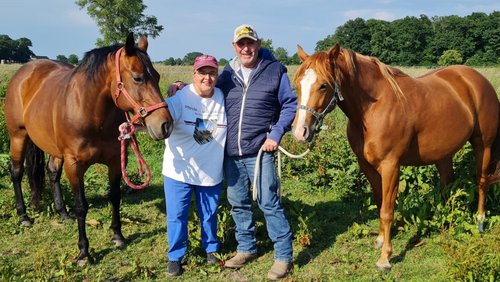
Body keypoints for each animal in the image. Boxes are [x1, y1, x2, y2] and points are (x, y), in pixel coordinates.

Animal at [4, 33, 174, 264]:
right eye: (138, 78)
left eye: (156, 76)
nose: (165, 125)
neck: (92, 113)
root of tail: (25, 71)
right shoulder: (74, 165)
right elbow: (81, 206)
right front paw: (84, 252)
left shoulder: (115, 161)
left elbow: (115, 196)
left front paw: (118, 236)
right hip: (18, 136)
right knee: (16, 172)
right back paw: (23, 216)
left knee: (52, 172)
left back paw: (63, 213)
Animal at [292, 43, 500, 268]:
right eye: (297, 85)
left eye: (323, 86)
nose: (300, 132)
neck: (373, 108)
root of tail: (477, 80)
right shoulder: (366, 166)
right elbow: (379, 202)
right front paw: (380, 240)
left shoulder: (391, 166)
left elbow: (387, 210)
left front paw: (385, 257)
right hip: (443, 154)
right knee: (447, 185)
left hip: (484, 146)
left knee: (482, 182)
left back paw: (480, 221)